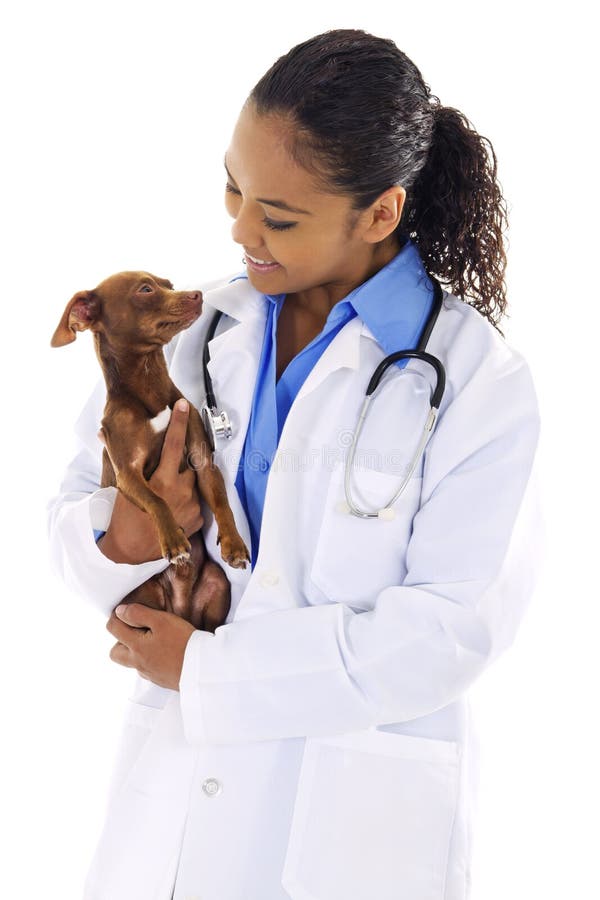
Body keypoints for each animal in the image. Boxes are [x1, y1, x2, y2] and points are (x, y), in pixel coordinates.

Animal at [50, 270, 250, 628]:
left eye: (169, 285)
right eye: (145, 290)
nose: (197, 294)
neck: (148, 386)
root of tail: (182, 609)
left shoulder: (202, 460)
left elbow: (221, 500)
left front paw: (234, 542)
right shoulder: (128, 474)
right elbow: (158, 500)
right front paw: (173, 541)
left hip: (217, 587)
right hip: (144, 597)